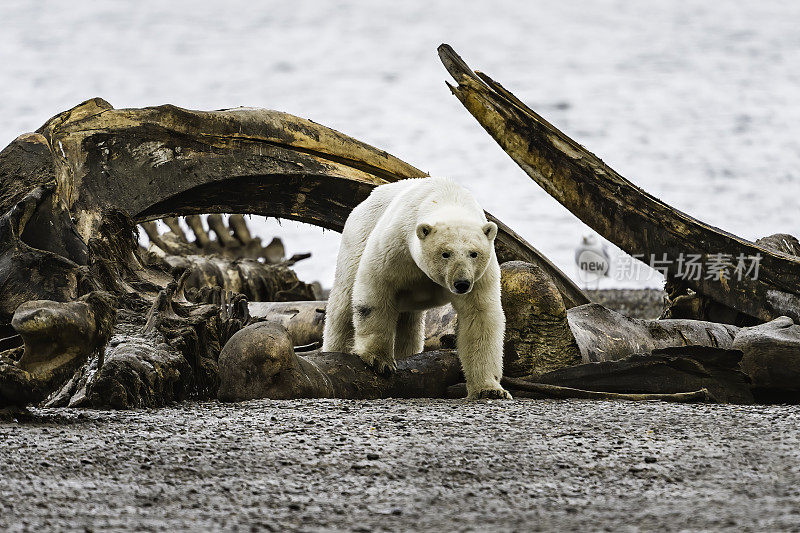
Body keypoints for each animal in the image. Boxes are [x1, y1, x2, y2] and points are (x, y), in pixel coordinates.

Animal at [320, 176, 512, 400]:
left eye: (474, 253)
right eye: (445, 253)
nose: (461, 283)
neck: (447, 197)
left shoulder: (481, 275)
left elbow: (479, 316)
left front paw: (490, 389)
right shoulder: (396, 246)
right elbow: (377, 290)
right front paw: (379, 360)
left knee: (409, 324)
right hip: (358, 238)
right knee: (342, 303)